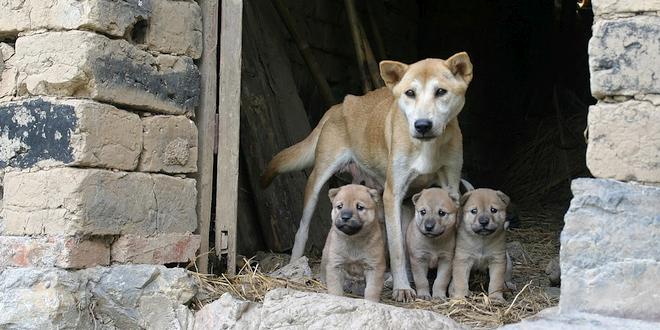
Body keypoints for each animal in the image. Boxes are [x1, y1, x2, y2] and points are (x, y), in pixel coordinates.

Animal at [260, 52, 472, 302]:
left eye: (441, 91)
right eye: (410, 93)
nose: (422, 125)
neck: (427, 147)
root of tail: (339, 105)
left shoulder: (449, 188)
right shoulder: (393, 193)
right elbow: (398, 250)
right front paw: (402, 288)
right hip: (317, 180)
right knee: (302, 229)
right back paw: (295, 265)